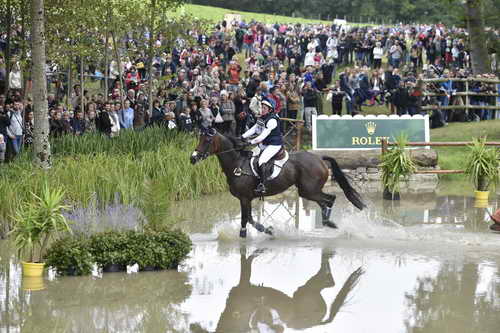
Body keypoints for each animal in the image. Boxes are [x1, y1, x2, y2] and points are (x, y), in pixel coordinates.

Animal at [189, 128, 366, 237]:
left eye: (207, 141)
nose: (192, 158)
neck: (237, 163)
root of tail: (319, 158)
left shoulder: (245, 198)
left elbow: (245, 220)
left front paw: (247, 235)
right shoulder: (245, 199)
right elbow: (250, 219)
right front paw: (267, 230)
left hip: (308, 190)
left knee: (330, 198)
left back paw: (329, 221)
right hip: (308, 191)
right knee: (325, 202)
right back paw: (328, 222)